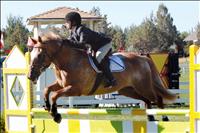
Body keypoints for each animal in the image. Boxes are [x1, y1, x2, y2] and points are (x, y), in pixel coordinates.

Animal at [27, 31, 176, 123]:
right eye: (32, 53)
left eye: (39, 55)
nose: (30, 76)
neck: (68, 61)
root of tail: (143, 58)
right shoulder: (62, 85)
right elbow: (47, 89)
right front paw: (47, 106)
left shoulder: (75, 89)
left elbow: (55, 95)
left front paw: (56, 115)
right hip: (128, 90)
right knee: (147, 100)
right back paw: (151, 118)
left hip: (143, 86)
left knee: (157, 98)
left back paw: (165, 118)